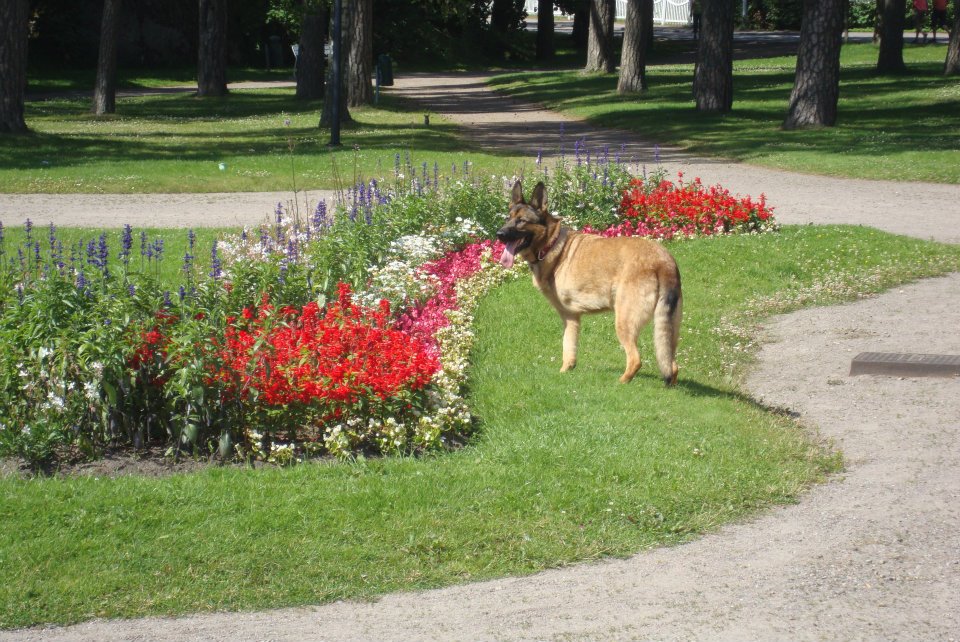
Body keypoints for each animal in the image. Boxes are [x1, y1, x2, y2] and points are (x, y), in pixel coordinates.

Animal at [498, 179, 680, 384]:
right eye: (508, 218)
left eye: (521, 221)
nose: (499, 234)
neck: (551, 245)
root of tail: (663, 260)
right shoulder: (572, 319)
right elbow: (569, 350)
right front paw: (565, 372)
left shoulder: (568, 315)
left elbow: (566, 347)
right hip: (667, 330)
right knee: (672, 365)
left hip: (624, 322)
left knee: (635, 360)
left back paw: (621, 382)